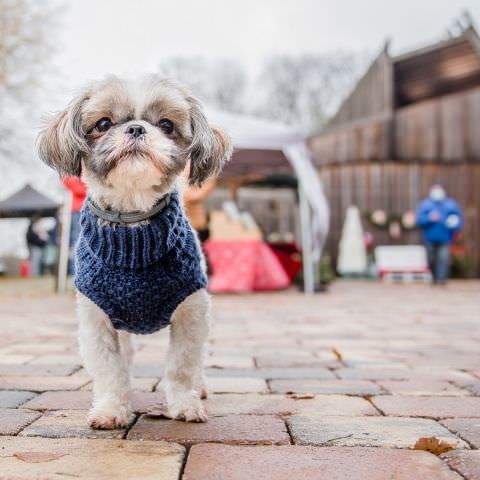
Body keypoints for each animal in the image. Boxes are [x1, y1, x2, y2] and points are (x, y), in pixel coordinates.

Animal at [37, 74, 232, 428]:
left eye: (167, 125)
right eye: (103, 124)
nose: (137, 129)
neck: (133, 234)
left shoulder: (192, 310)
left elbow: (182, 365)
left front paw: (184, 403)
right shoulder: (96, 319)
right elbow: (110, 369)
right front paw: (112, 409)